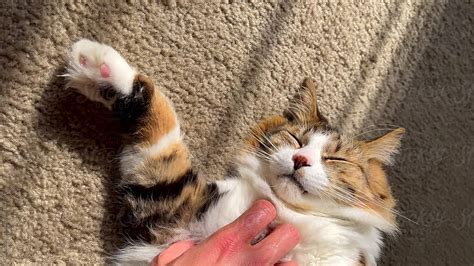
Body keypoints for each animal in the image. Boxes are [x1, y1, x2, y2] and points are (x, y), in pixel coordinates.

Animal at [65, 38, 406, 264]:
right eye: (296, 140)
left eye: (334, 158)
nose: (300, 160)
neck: (289, 215)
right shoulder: (170, 210)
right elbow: (159, 123)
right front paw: (97, 63)